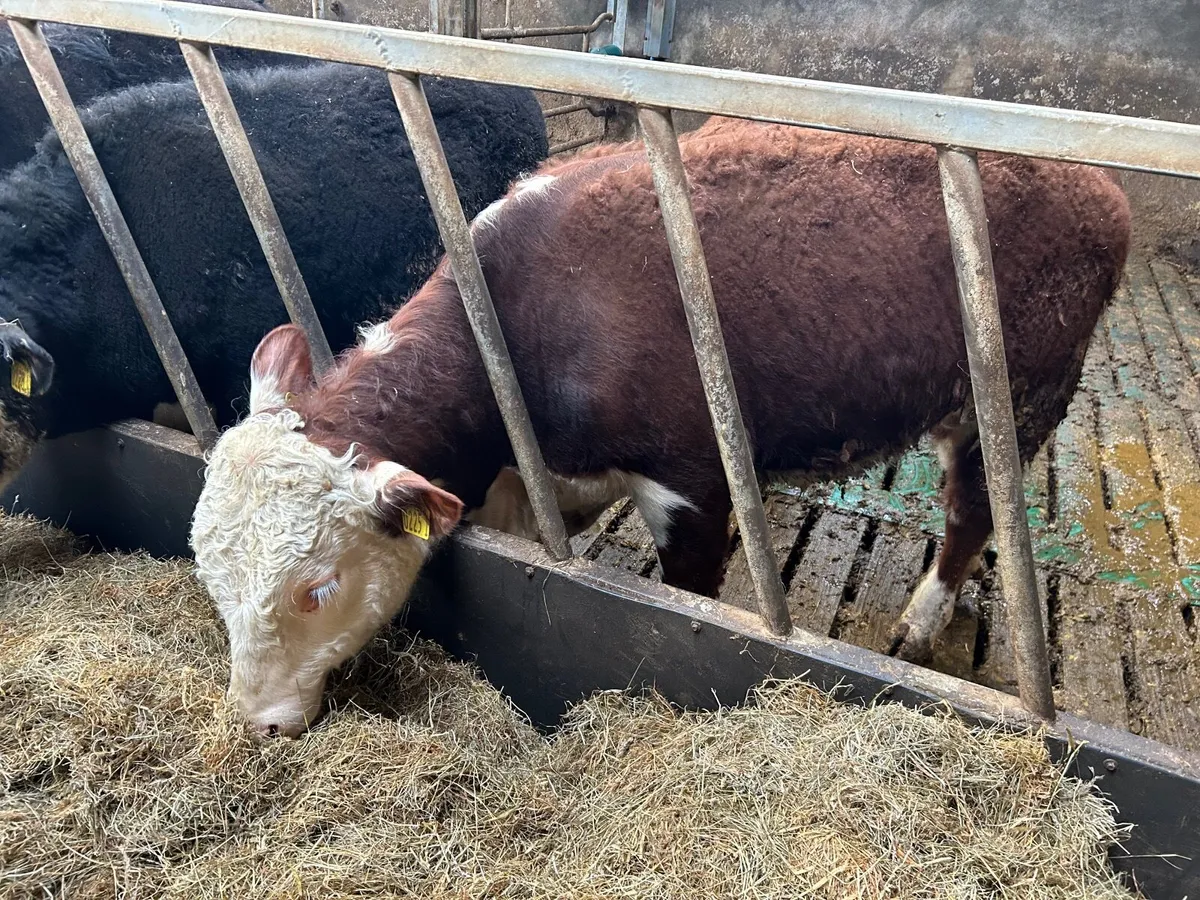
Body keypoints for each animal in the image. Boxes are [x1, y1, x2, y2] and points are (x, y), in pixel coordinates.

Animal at [189, 116, 1132, 737]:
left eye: (315, 588)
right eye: (208, 572)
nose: (256, 722)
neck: (516, 325)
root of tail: (1098, 186)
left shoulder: (690, 476)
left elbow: (687, 602)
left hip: (1019, 395)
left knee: (975, 509)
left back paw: (923, 618)